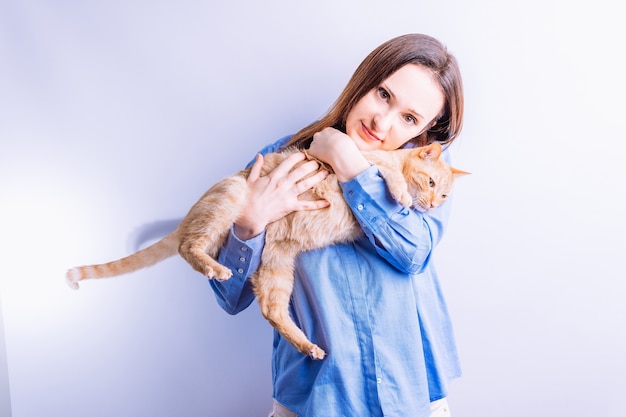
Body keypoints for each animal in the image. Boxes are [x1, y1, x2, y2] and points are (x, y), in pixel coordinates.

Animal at [66, 143, 466, 358]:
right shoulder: (365, 160)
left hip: (277, 263)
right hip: (230, 202)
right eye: (431, 182)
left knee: (271, 309)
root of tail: (192, 213)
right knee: (187, 246)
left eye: (445, 194)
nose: (433, 205)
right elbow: (386, 175)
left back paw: (308, 347)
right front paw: (399, 194)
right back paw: (216, 268)